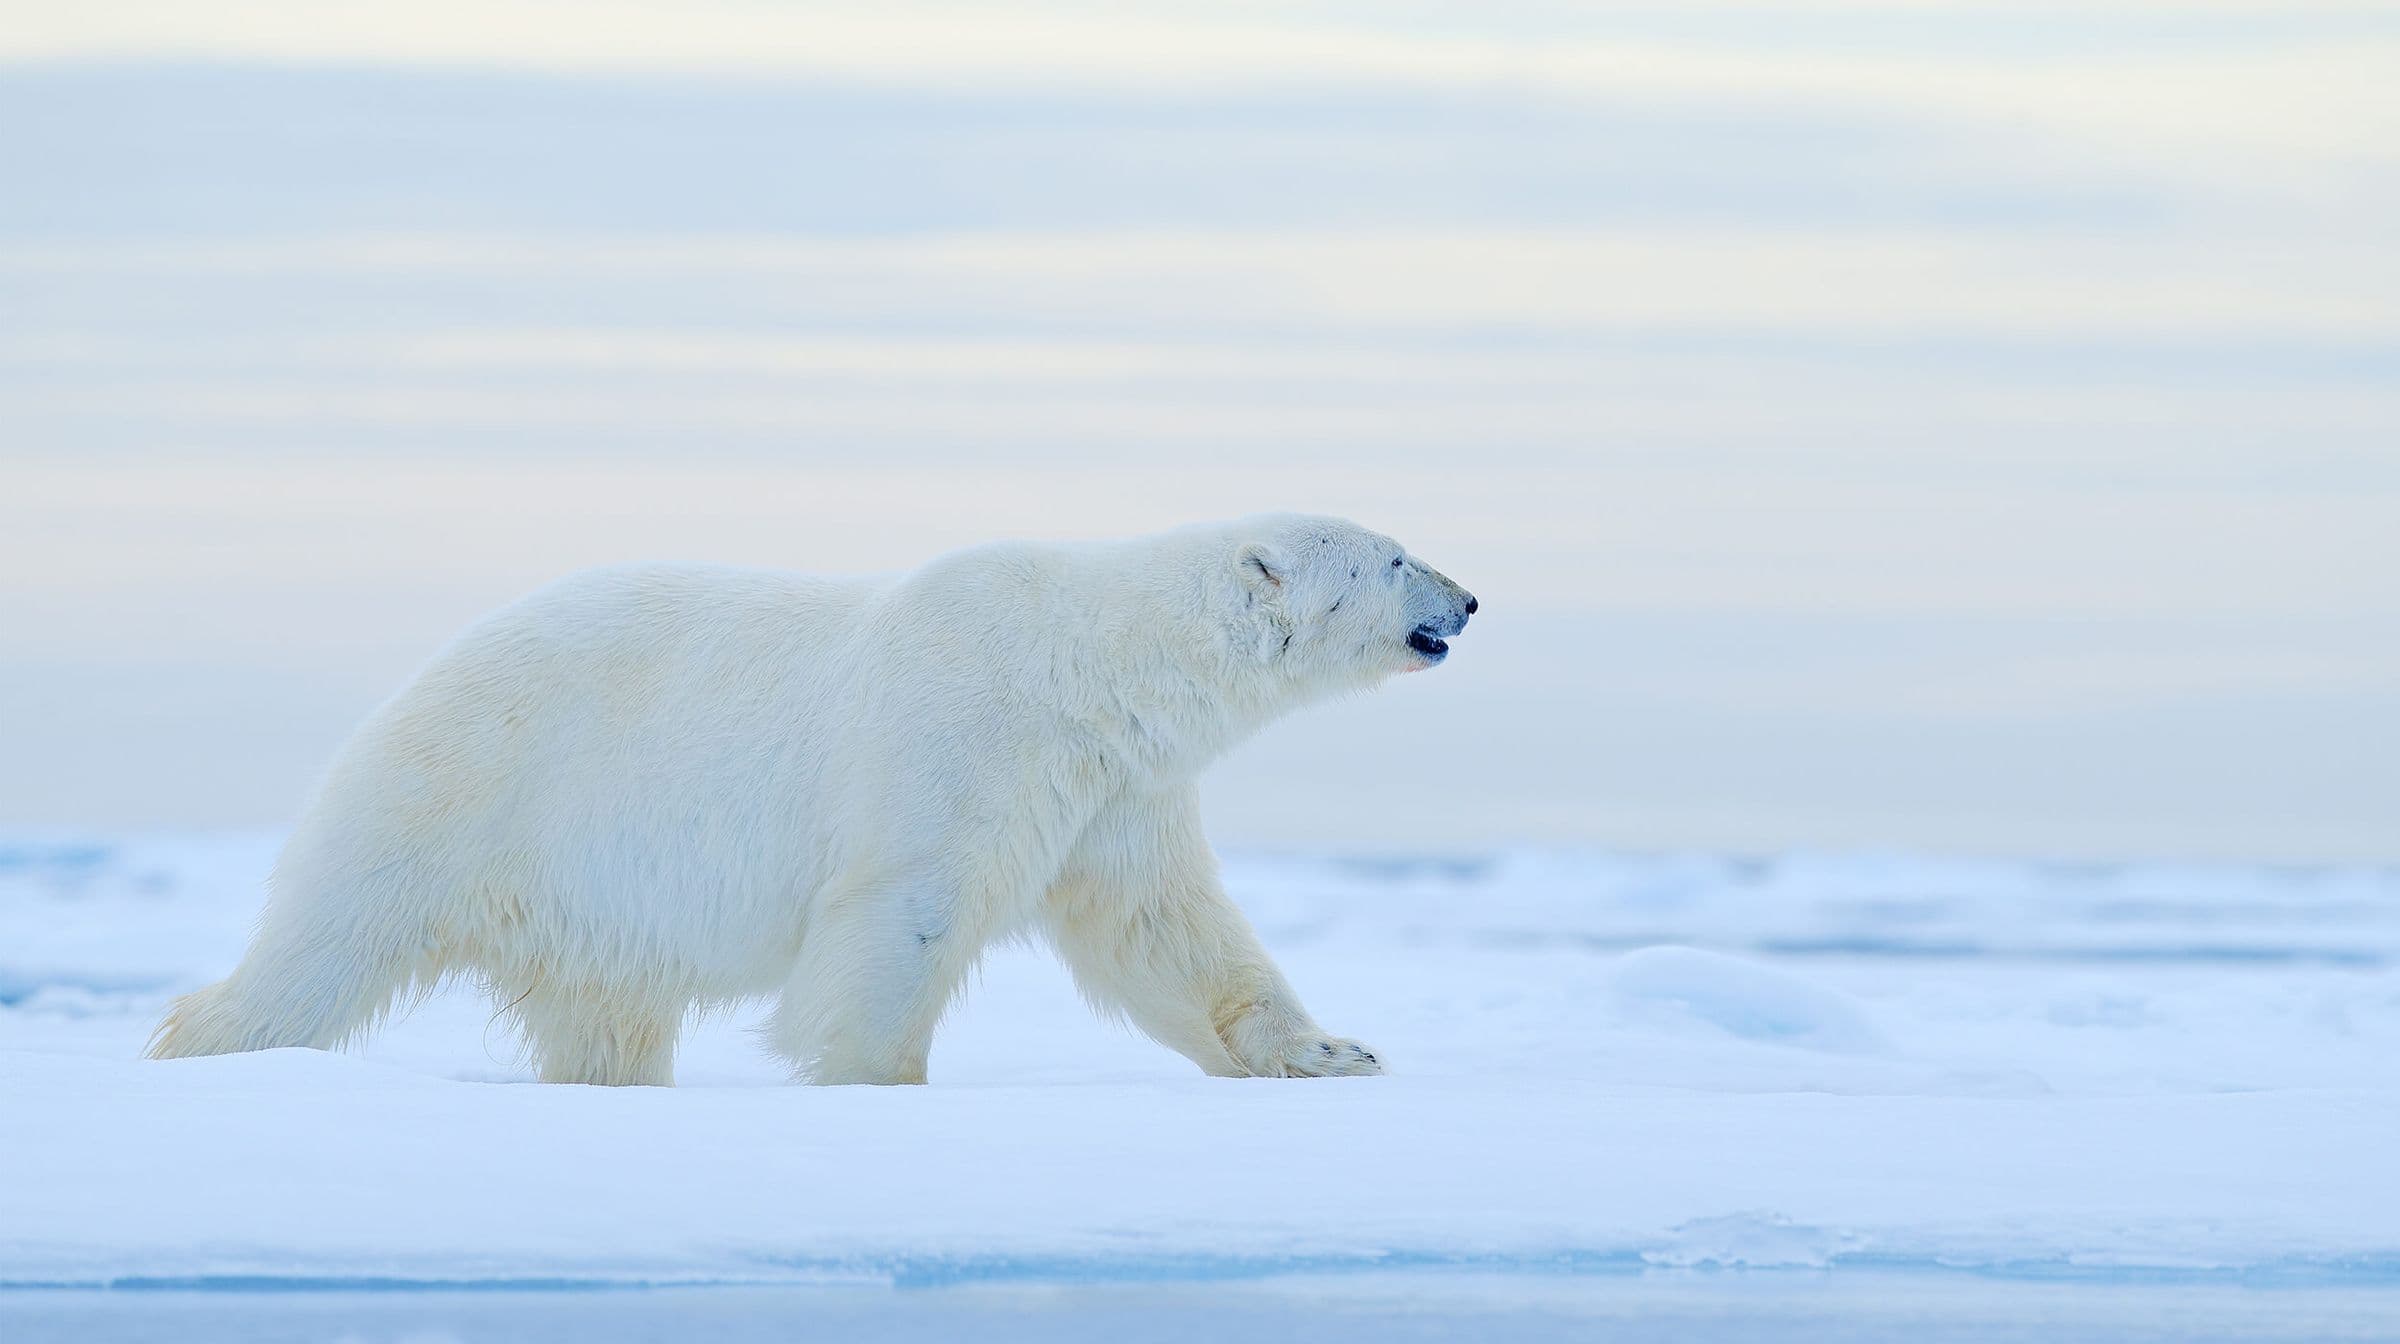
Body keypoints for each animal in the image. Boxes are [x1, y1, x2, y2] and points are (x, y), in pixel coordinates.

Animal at [147, 514, 1477, 1085]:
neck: (1088, 661)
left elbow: (1167, 930)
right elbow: (904, 910)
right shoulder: (960, 737)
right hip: (462, 790)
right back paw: (201, 1045)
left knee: (605, 1018)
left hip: (586, 905)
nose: (1468, 597)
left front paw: (1331, 1049)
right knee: (320, 952)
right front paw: (874, 1078)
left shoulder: (1117, 788)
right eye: (1393, 553)